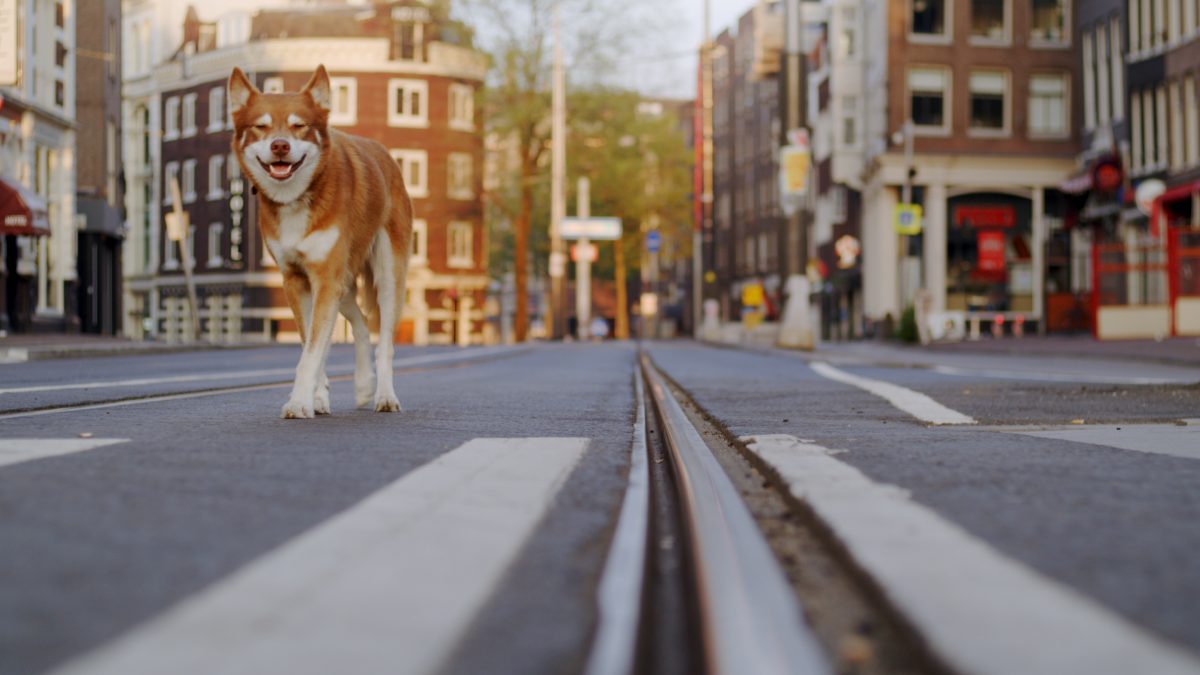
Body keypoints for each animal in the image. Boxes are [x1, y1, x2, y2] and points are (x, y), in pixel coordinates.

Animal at [228, 66, 412, 415]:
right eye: (261, 127)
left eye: (299, 126)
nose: (280, 146)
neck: (297, 198)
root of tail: (387, 157)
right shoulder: (297, 280)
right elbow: (311, 344)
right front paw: (316, 397)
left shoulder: (326, 278)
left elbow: (311, 353)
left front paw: (299, 401)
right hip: (343, 284)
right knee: (360, 323)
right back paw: (363, 384)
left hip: (385, 276)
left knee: (385, 343)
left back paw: (384, 394)